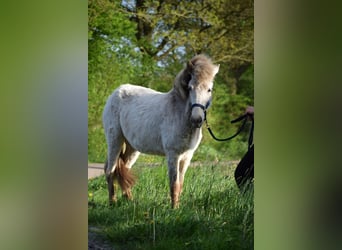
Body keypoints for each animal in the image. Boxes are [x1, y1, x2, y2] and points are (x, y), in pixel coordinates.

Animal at [103, 55, 219, 209]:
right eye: (190, 88)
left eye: (209, 90)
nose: (196, 119)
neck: (179, 114)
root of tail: (116, 92)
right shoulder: (173, 155)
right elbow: (174, 184)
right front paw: (174, 210)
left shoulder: (187, 157)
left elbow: (180, 184)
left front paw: (177, 207)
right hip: (115, 140)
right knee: (110, 170)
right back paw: (112, 203)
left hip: (132, 147)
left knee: (124, 169)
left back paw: (130, 201)